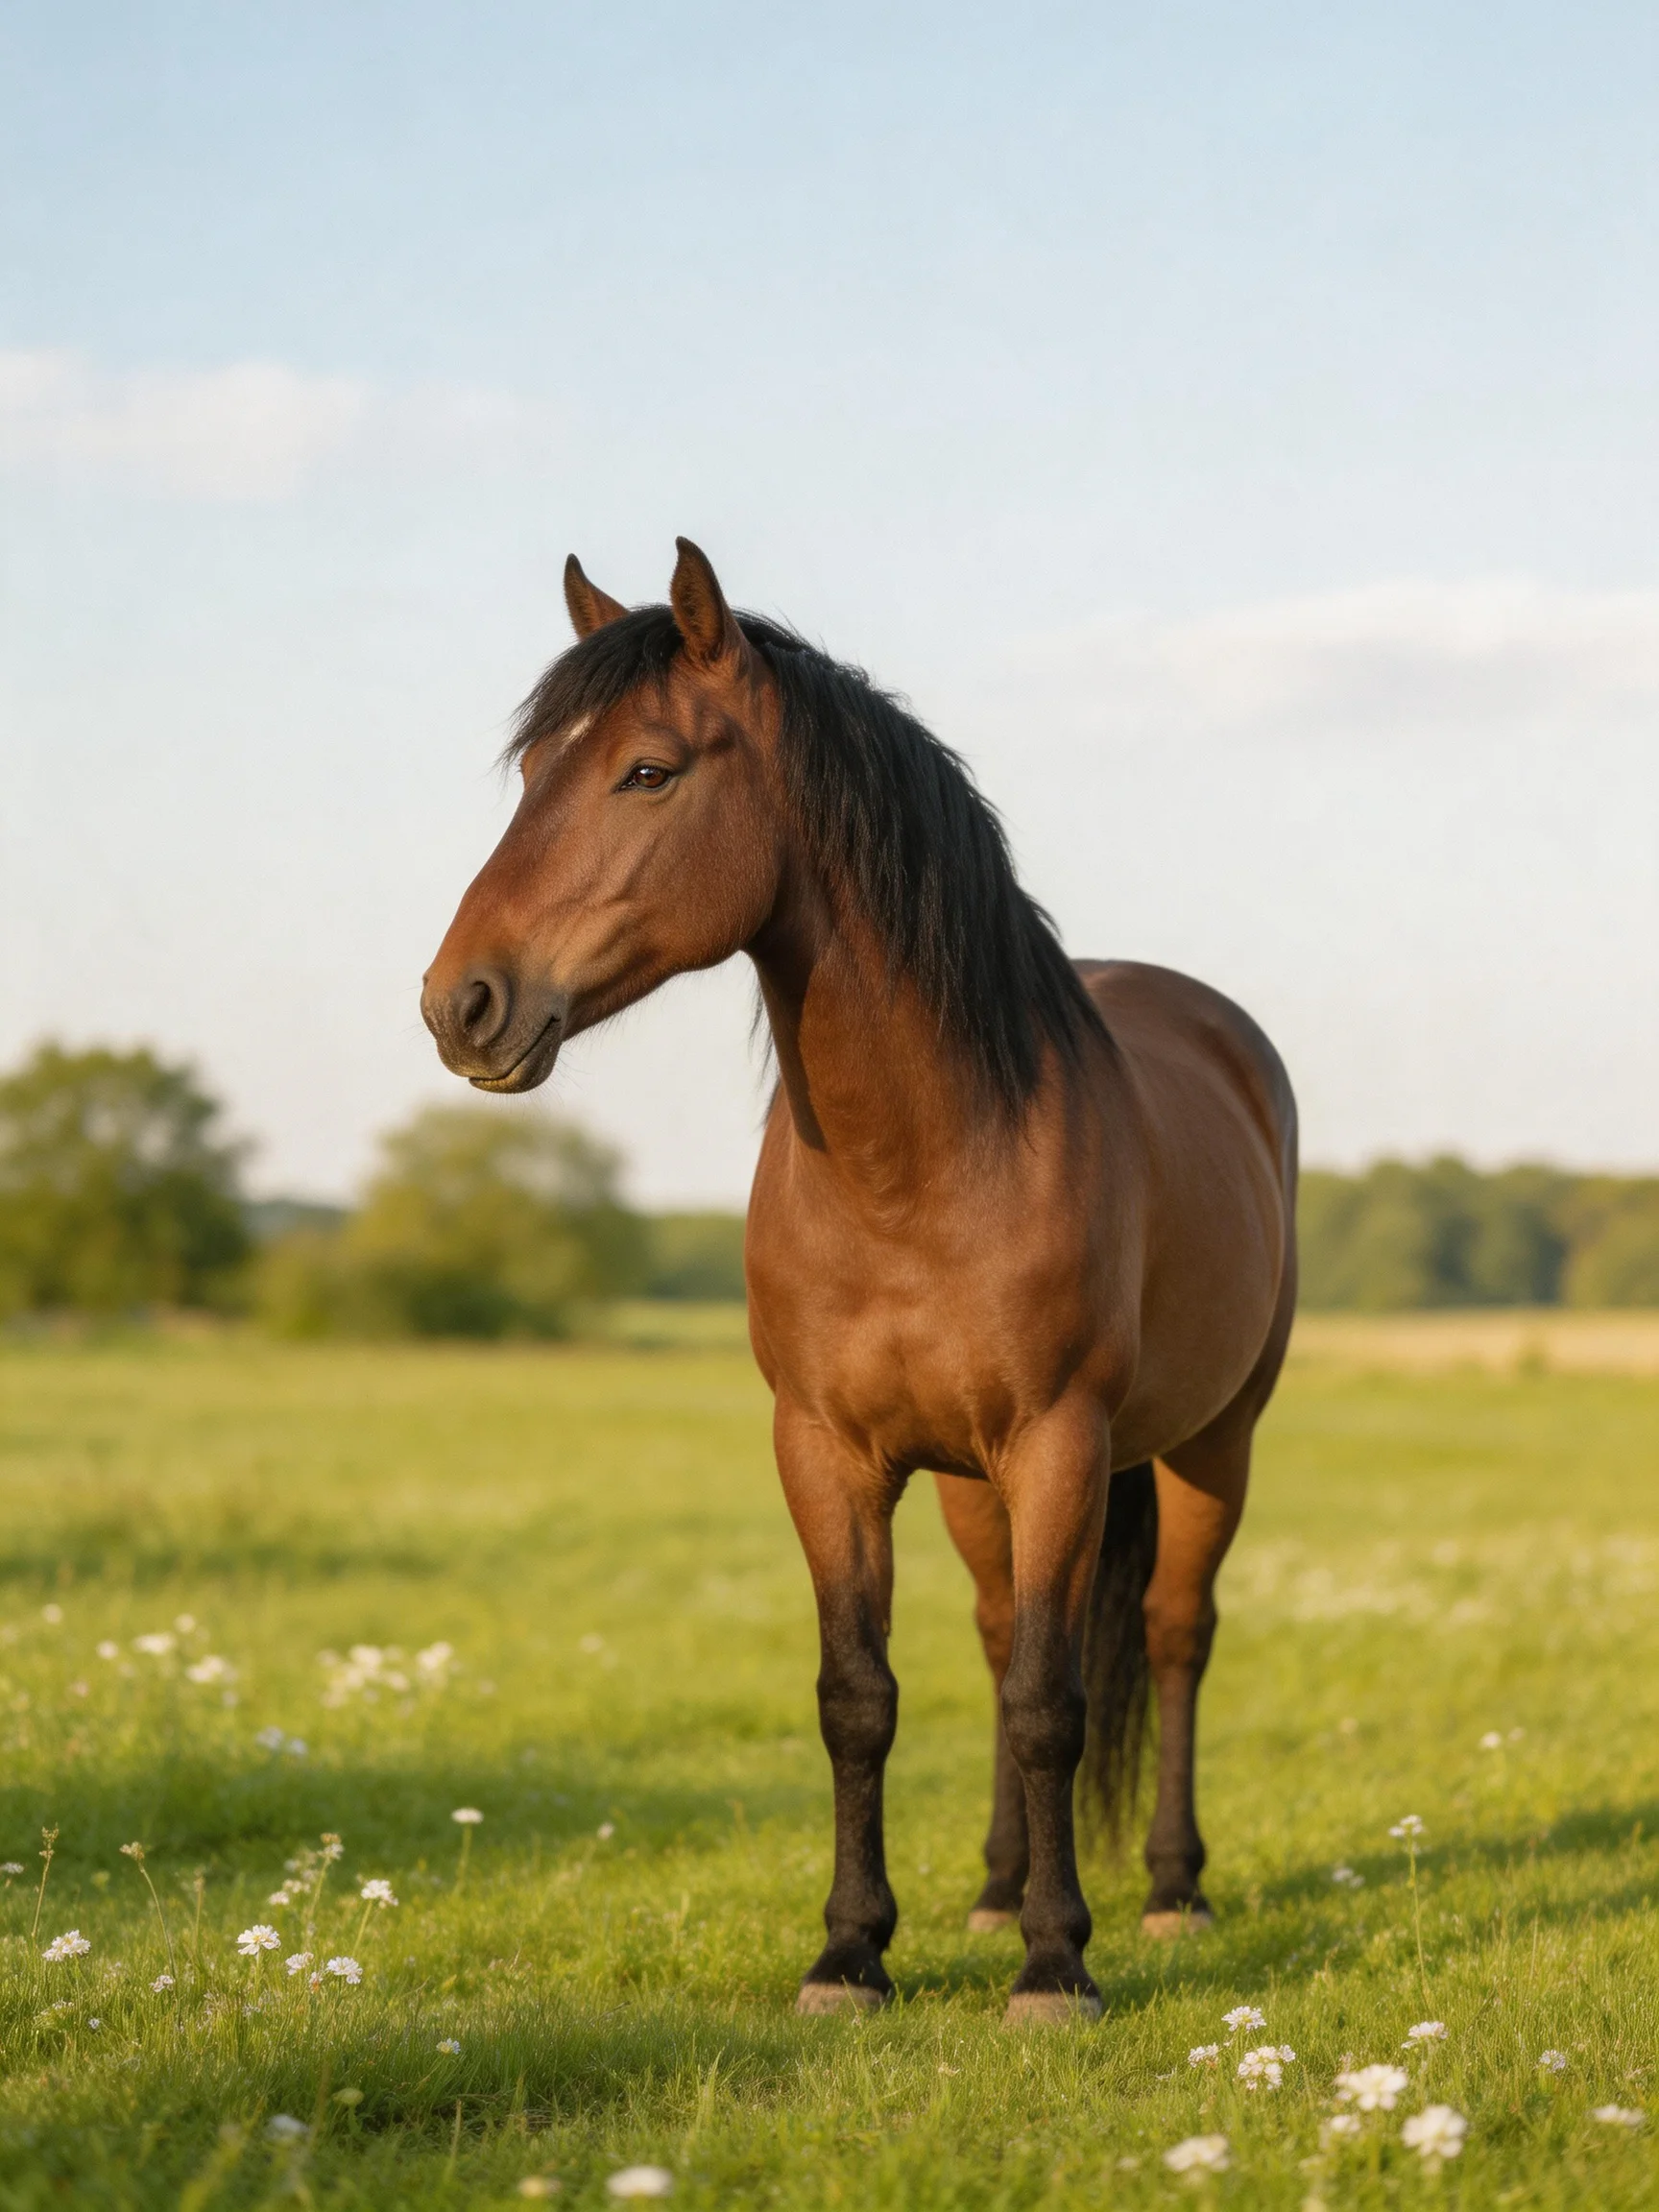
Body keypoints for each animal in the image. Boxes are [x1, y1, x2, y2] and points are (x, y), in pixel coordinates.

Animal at [421, 540, 1298, 2025]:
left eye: (647, 770)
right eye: (533, 769)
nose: (460, 1004)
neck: (920, 1169)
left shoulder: (1062, 1443)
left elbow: (1055, 1703)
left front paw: (1056, 1967)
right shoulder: (827, 1451)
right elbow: (863, 1695)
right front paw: (852, 1952)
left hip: (1210, 1443)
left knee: (1174, 1634)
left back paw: (1171, 1890)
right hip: (972, 1486)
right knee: (1004, 1635)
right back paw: (997, 1887)